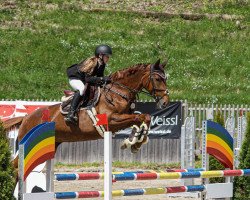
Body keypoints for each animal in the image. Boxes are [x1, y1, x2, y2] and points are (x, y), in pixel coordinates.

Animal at [3, 58, 170, 170]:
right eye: (157, 78)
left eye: (165, 78)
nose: (165, 102)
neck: (118, 92)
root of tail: (26, 117)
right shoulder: (112, 120)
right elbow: (140, 117)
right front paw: (132, 142)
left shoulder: (123, 120)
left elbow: (143, 117)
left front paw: (134, 143)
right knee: (15, 166)